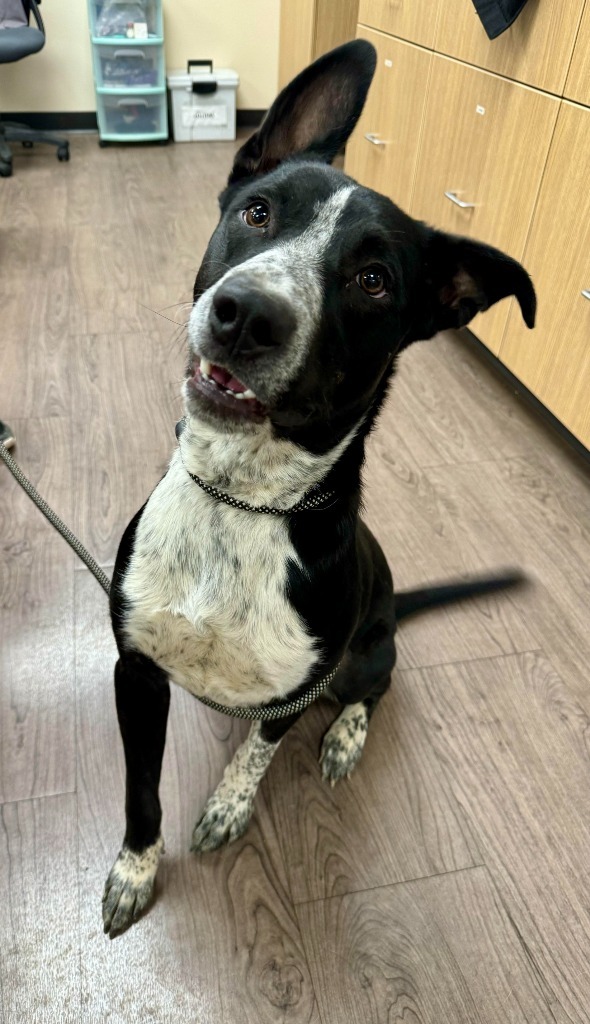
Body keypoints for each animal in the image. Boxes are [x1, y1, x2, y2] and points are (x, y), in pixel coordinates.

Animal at [101, 39, 532, 937]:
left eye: (373, 280)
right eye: (258, 213)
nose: (246, 315)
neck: (241, 503)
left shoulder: (293, 693)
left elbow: (259, 756)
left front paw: (229, 806)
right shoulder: (135, 672)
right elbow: (139, 792)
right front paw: (135, 868)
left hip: (370, 652)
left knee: (377, 689)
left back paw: (345, 739)